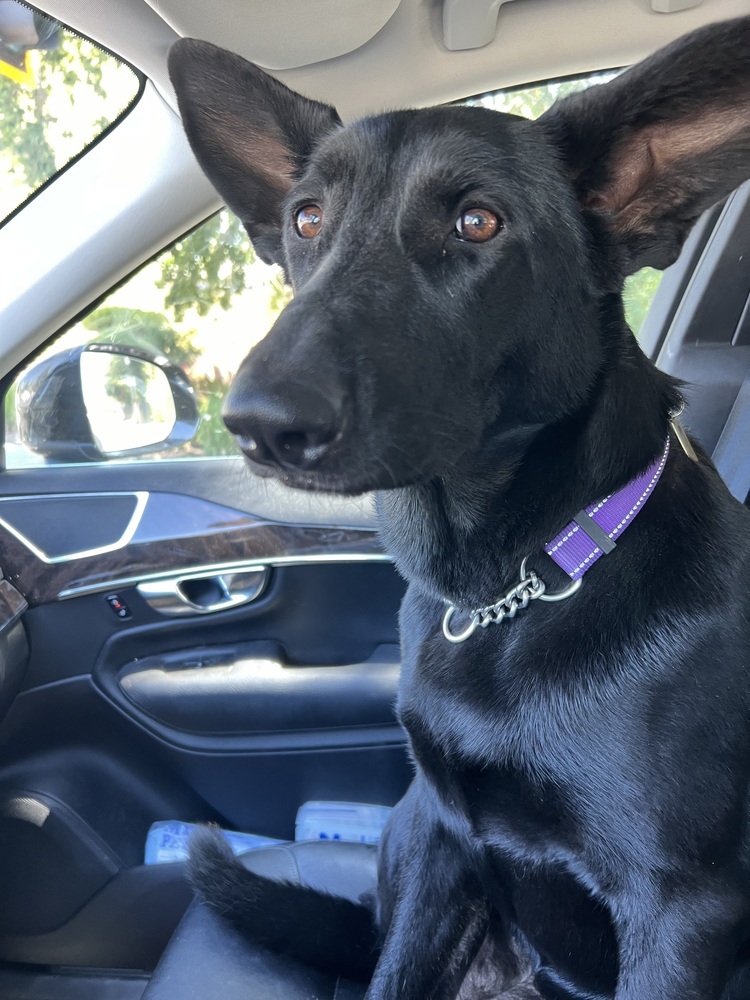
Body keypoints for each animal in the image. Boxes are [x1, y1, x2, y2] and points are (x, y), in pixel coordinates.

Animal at [169, 19, 750, 996]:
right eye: (307, 219)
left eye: (477, 222)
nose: (258, 422)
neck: (514, 583)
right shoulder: (446, 836)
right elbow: (394, 974)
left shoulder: (684, 915)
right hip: (407, 827)